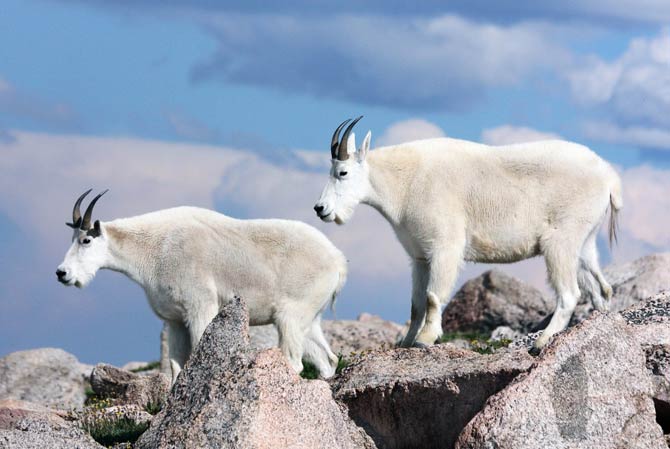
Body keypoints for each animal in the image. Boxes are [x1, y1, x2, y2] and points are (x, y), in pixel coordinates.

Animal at [57, 187, 346, 380]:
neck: (155, 248)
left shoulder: (200, 308)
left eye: (86, 240)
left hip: (291, 315)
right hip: (310, 319)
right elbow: (176, 368)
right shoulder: (174, 320)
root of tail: (337, 260)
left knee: (294, 361)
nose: (62, 273)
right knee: (327, 360)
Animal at [316, 117, 624, 352]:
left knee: (570, 294)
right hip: (584, 240)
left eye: (342, 172)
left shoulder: (444, 245)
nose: (321, 209)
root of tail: (609, 177)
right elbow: (416, 304)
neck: (404, 184)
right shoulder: (419, 256)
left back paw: (542, 341)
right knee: (600, 287)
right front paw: (404, 343)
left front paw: (426, 339)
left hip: (560, 240)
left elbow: (432, 297)